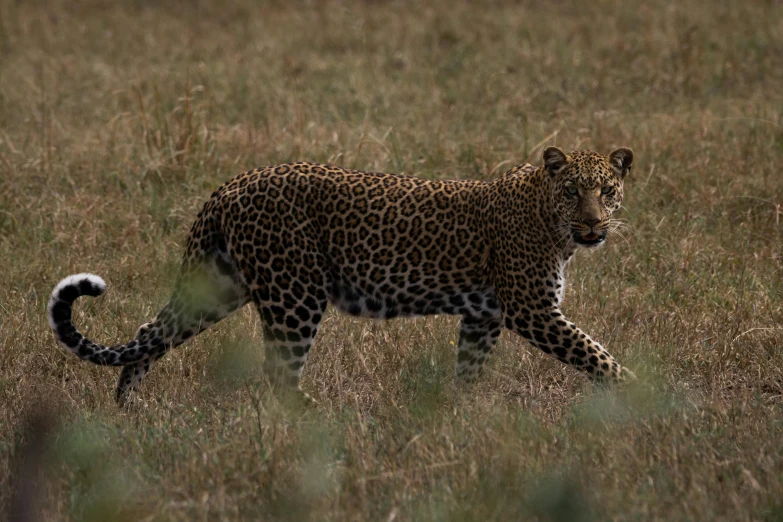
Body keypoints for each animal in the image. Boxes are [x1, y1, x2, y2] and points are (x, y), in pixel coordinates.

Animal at [47, 144, 636, 404]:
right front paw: (645, 397)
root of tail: (230, 185)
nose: (594, 224)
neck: (549, 219)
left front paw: (458, 413)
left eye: (606, 191)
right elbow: (597, 354)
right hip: (294, 293)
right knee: (278, 375)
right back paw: (323, 421)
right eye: (572, 192)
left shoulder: (484, 315)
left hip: (220, 286)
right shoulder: (532, 310)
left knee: (151, 332)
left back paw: (127, 407)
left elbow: (468, 370)